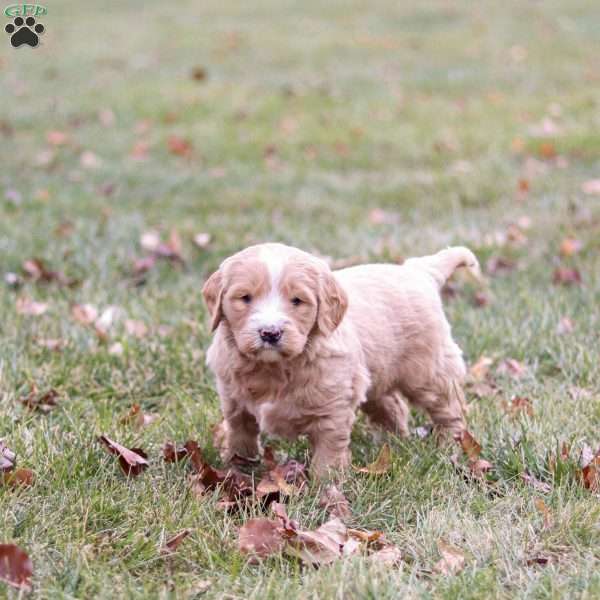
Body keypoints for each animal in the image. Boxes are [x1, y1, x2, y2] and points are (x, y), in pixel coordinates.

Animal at [203, 243, 478, 474]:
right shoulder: (234, 403)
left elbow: (328, 455)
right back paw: (392, 443)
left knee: (449, 407)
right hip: (374, 375)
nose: (270, 333)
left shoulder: (332, 410)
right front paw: (237, 472)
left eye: (297, 301)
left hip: (428, 369)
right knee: (392, 406)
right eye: (245, 298)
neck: (273, 368)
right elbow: (240, 438)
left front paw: (326, 489)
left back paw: (449, 447)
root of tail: (417, 270)